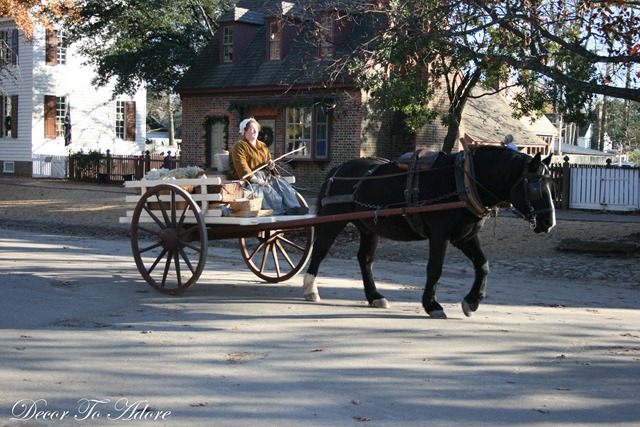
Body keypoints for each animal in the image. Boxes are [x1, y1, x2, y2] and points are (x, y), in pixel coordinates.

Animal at [302, 146, 556, 318]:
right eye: (535, 186)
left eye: (550, 185)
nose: (549, 222)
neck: (463, 181)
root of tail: (337, 169)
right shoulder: (440, 234)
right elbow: (435, 268)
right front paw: (432, 305)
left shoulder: (465, 236)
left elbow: (483, 265)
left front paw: (472, 302)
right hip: (333, 221)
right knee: (320, 250)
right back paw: (310, 289)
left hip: (369, 227)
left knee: (364, 259)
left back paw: (375, 297)